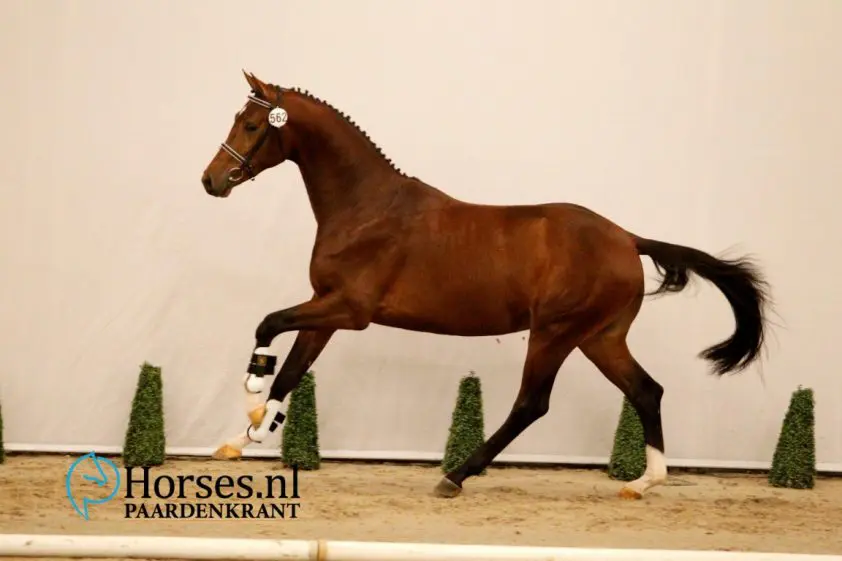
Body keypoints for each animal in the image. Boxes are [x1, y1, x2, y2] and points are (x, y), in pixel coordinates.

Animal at [200, 71, 771, 500]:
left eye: (252, 124)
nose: (212, 180)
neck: (365, 207)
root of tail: (628, 239)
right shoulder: (325, 309)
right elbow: (292, 370)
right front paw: (244, 436)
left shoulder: (349, 310)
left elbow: (269, 325)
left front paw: (252, 388)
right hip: (599, 338)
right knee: (646, 391)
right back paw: (644, 482)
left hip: (555, 334)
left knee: (532, 404)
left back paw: (455, 476)